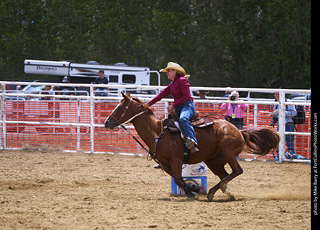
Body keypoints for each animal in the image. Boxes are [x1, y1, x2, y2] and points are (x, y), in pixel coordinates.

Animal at [105, 92, 280, 200]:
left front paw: (195, 190)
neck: (158, 132)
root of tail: (239, 131)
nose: (107, 122)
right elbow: (179, 179)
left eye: (120, 107)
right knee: (224, 175)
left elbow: (178, 178)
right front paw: (192, 190)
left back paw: (211, 192)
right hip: (214, 161)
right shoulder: (165, 164)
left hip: (228, 152)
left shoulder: (176, 160)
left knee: (237, 171)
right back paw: (223, 192)